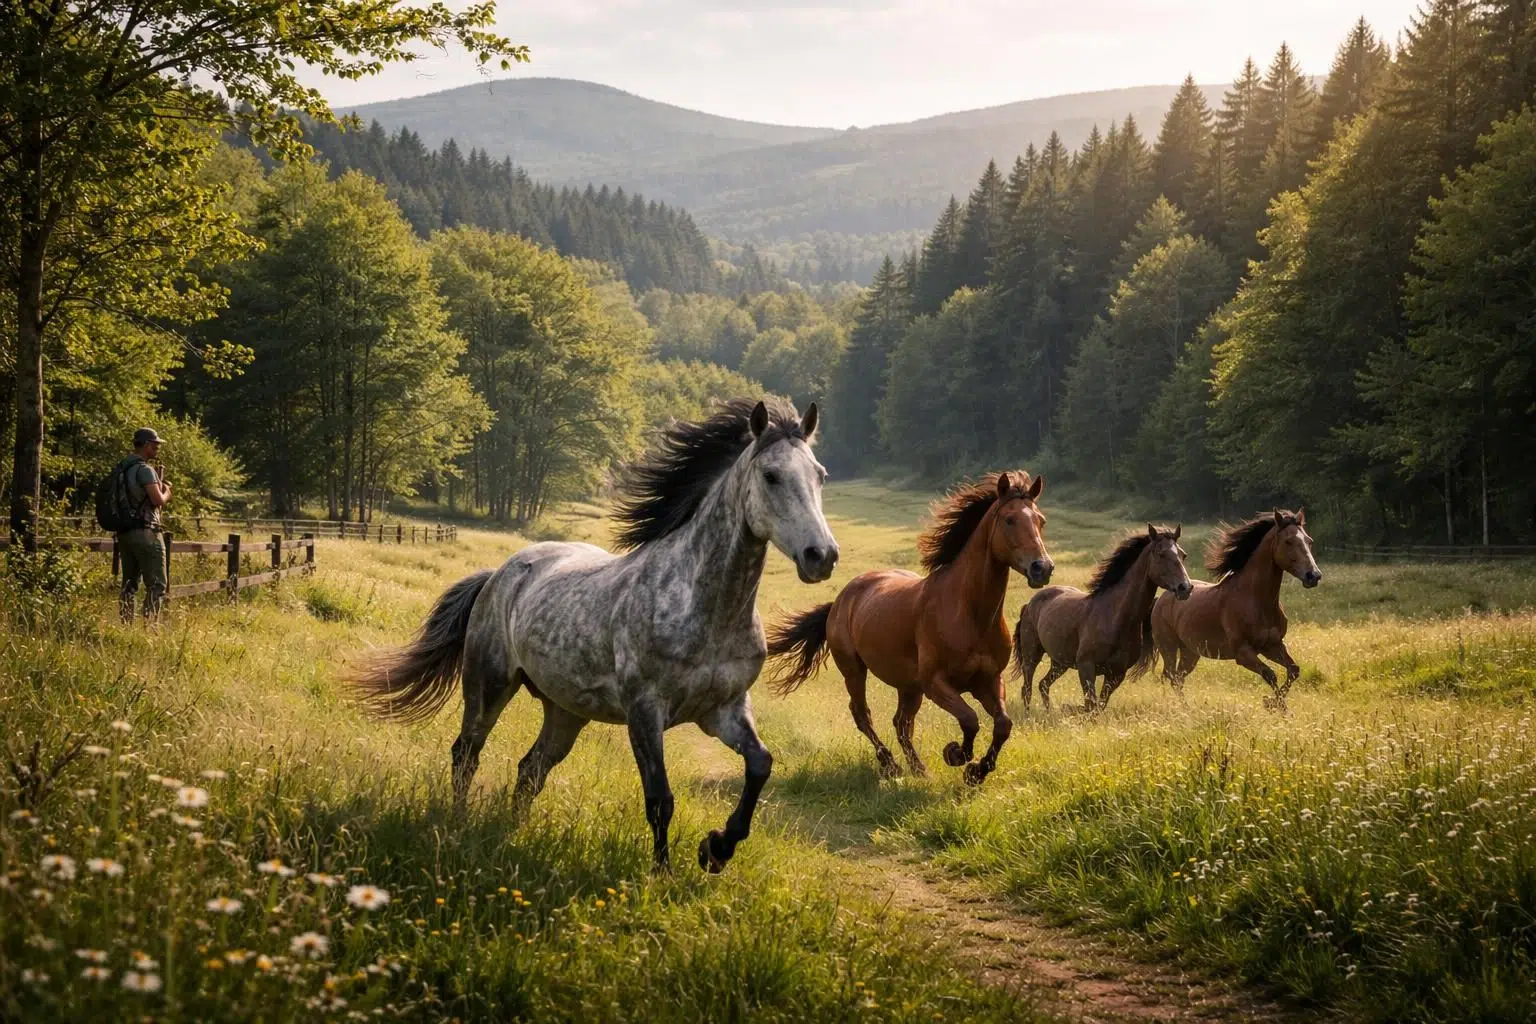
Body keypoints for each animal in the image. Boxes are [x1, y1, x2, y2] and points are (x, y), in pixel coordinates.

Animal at [352, 398, 838, 873]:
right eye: (771, 475)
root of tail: (499, 574)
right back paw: (458, 823)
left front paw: (715, 849)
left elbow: (759, 766)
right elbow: (660, 799)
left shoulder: (725, 709)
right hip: (489, 685)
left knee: (530, 769)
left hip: (565, 711)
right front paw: (662, 876)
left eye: (820, 474)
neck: (703, 608)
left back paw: (511, 832)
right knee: (466, 753)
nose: (822, 556)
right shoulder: (645, 711)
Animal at [764, 471, 1052, 786]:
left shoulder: (988, 680)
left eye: (1041, 521)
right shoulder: (935, 683)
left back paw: (919, 769)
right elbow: (969, 719)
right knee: (863, 714)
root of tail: (841, 599)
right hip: (855, 671)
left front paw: (977, 771)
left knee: (902, 722)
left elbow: (1002, 724)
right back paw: (891, 765)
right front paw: (956, 755)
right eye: (1010, 520)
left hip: (908, 686)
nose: (1042, 568)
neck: (969, 614)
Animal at [1013, 524, 1193, 713]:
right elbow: (1090, 705)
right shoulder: (1086, 667)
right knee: (1027, 688)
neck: (1115, 618)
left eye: (1183, 555)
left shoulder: (1116, 674)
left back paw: (1048, 712)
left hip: (1059, 662)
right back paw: (1028, 715)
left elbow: (1098, 706)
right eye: (1161, 554)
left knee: (1043, 685)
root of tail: (1029, 604)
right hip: (1032, 655)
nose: (1185, 588)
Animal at [1151, 508, 1322, 708]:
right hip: (1168, 648)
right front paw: (1271, 704)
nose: (1313, 576)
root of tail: (1163, 597)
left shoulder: (1272, 645)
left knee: (1178, 678)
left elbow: (1293, 670)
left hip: (1190, 652)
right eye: (1288, 541)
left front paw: (1276, 705)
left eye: (1309, 541)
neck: (1256, 601)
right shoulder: (1243, 653)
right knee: (1170, 676)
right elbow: (1270, 674)